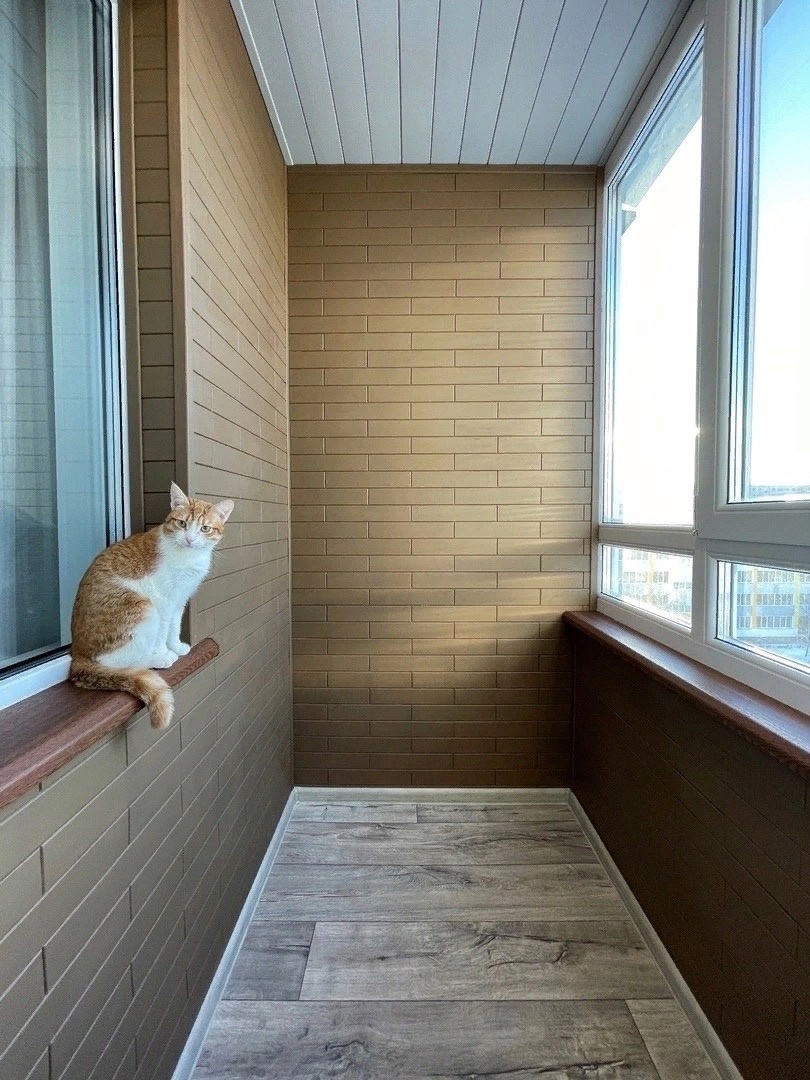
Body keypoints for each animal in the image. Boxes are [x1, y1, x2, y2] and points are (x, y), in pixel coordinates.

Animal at [70, 483, 234, 728]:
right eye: (182, 523)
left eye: (205, 528)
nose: (190, 539)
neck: (188, 557)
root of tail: (76, 653)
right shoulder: (164, 601)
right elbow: (163, 631)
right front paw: (164, 652)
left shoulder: (179, 600)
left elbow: (174, 627)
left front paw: (176, 647)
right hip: (142, 607)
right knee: (117, 661)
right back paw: (154, 659)